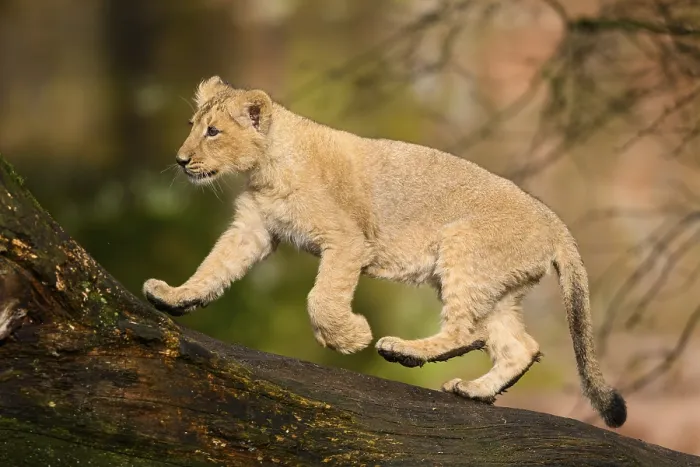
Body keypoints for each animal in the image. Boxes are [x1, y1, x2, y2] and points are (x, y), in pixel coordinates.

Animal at [143, 76, 626, 428]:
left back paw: (403, 350)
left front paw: (349, 336)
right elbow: (214, 267)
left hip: (462, 249)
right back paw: (473, 390)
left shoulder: (347, 240)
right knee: (519, 347)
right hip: (497, 288)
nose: (181, 160)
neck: (265, 168)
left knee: (464, 330)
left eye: (213, 132)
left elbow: (321, 297)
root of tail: (554, 222)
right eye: (192, 126)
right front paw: (173, 296)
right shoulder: (253, 229)